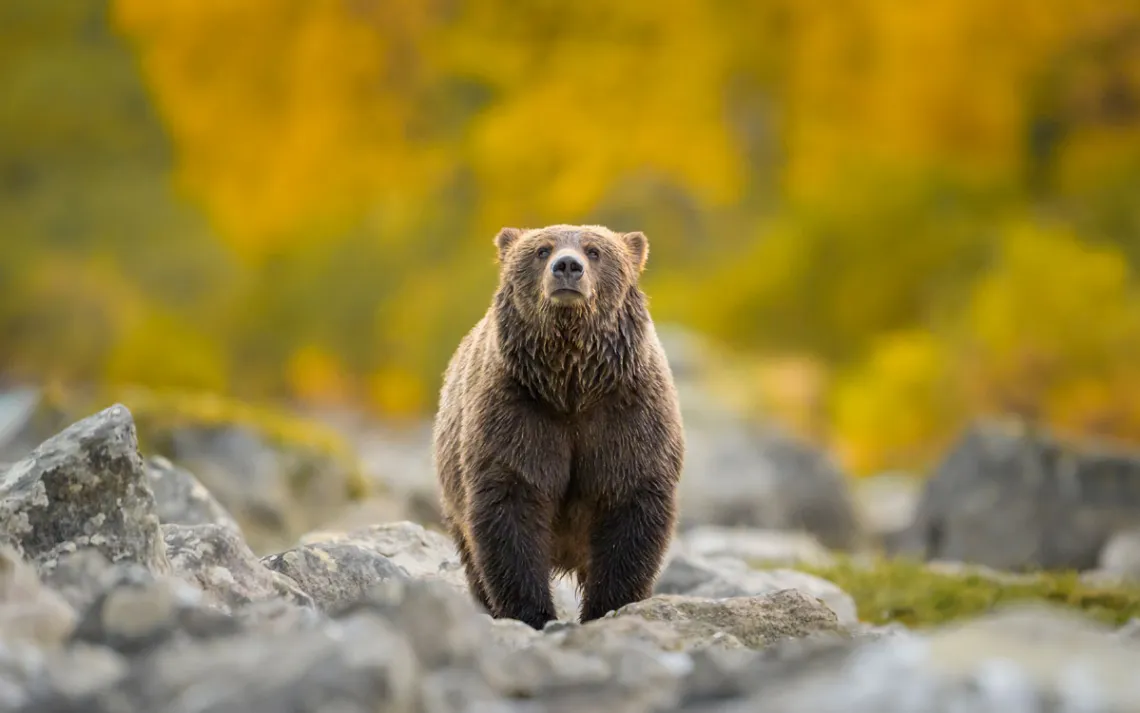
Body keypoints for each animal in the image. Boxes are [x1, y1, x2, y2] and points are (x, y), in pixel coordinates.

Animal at [432, 224, 685, 630]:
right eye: (542, 250)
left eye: (595, 250)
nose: (567, 266)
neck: (571, 386)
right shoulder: (517, 414)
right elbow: (512, 505)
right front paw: (531, 613)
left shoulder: (628, 416)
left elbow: (630, 505)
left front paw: (610, 606)